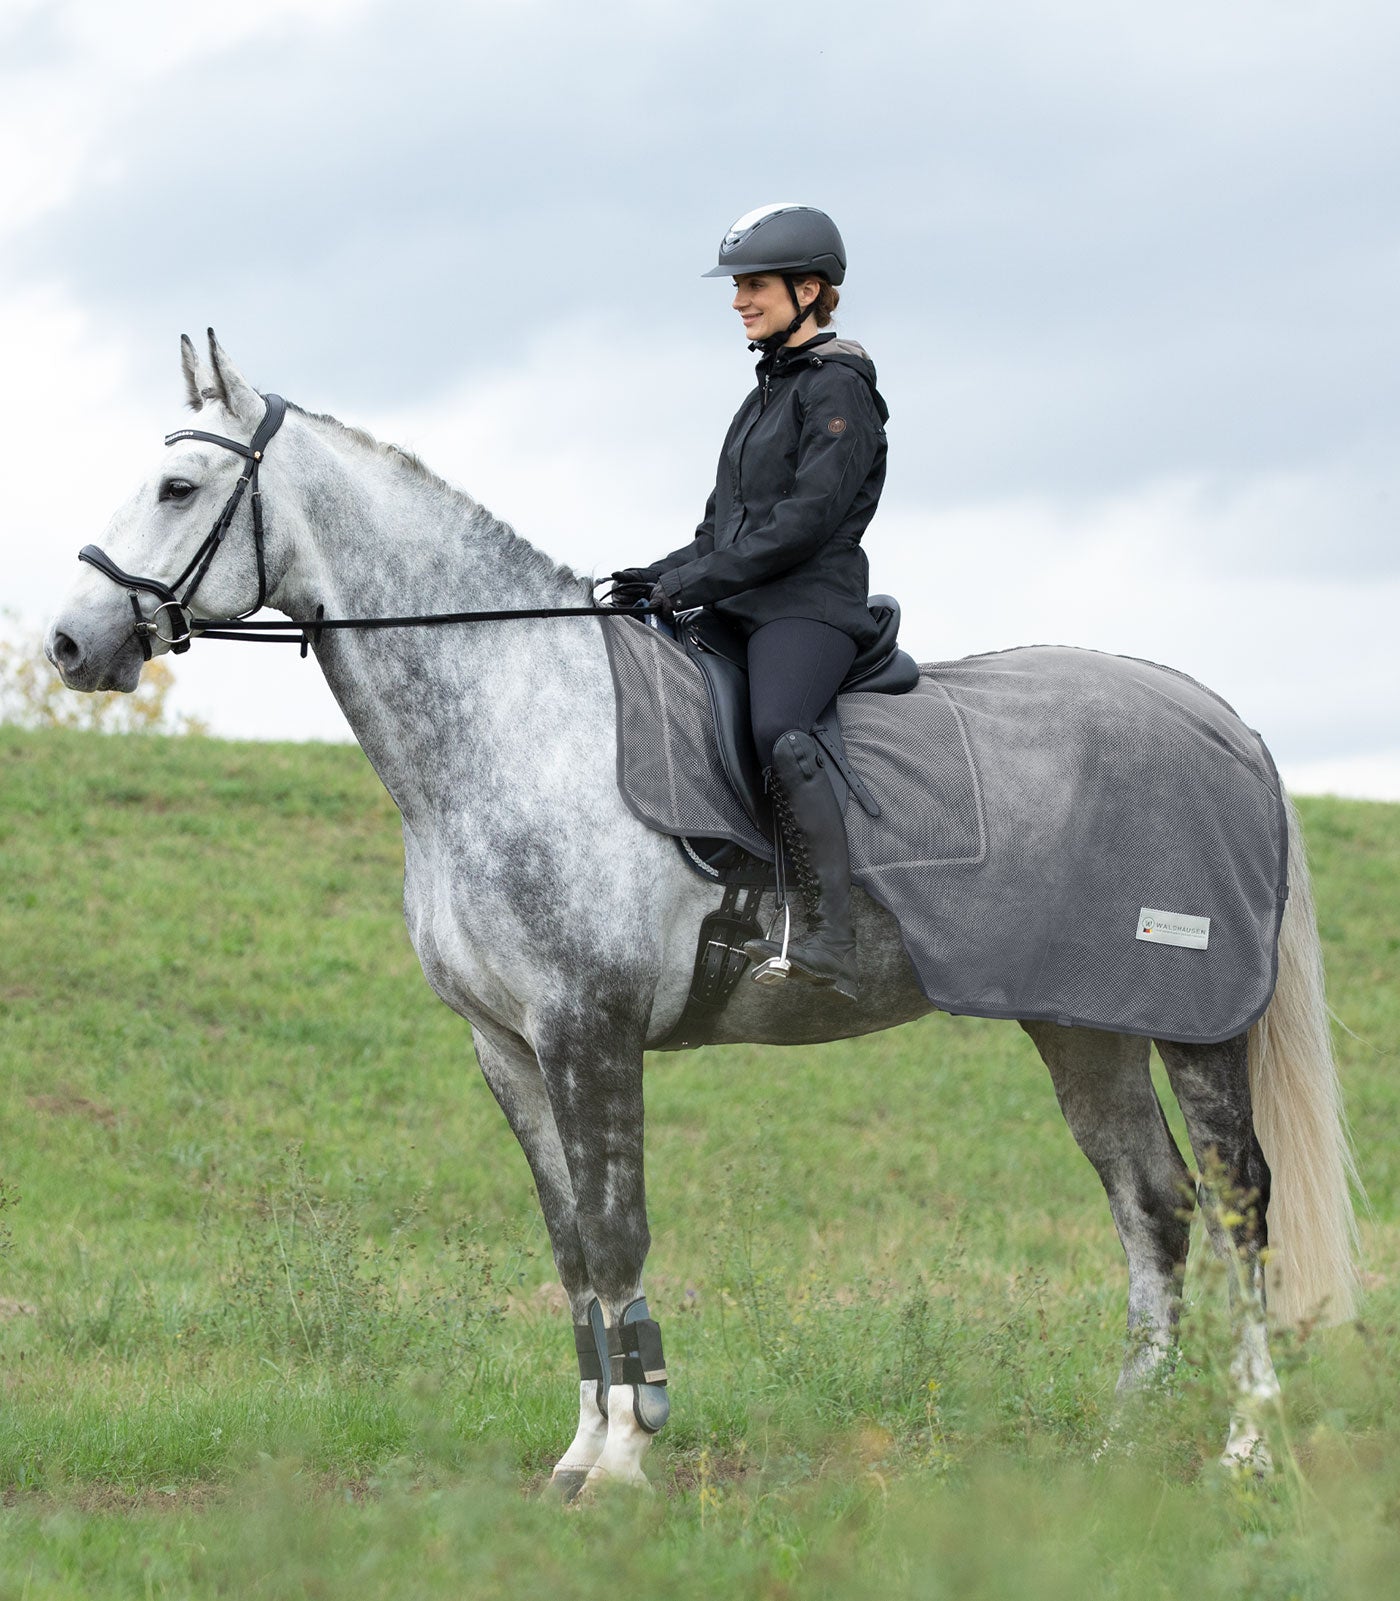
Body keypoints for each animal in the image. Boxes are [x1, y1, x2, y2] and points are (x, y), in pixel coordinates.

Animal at [46, 331, 1351, 1492]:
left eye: (177, 485)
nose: (67, 642)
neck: (517, 717)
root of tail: (1220, 722)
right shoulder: (507, 1046)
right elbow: (570, 1245)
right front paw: (578, 1453)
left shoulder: (590, 1024)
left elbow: (616, 1232)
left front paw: (627, 1456)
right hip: (1081, 1025)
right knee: (1152, 1204)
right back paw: (1119, 1448)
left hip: (1191, 1023)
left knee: (1237, 1204)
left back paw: (1243, 1449)